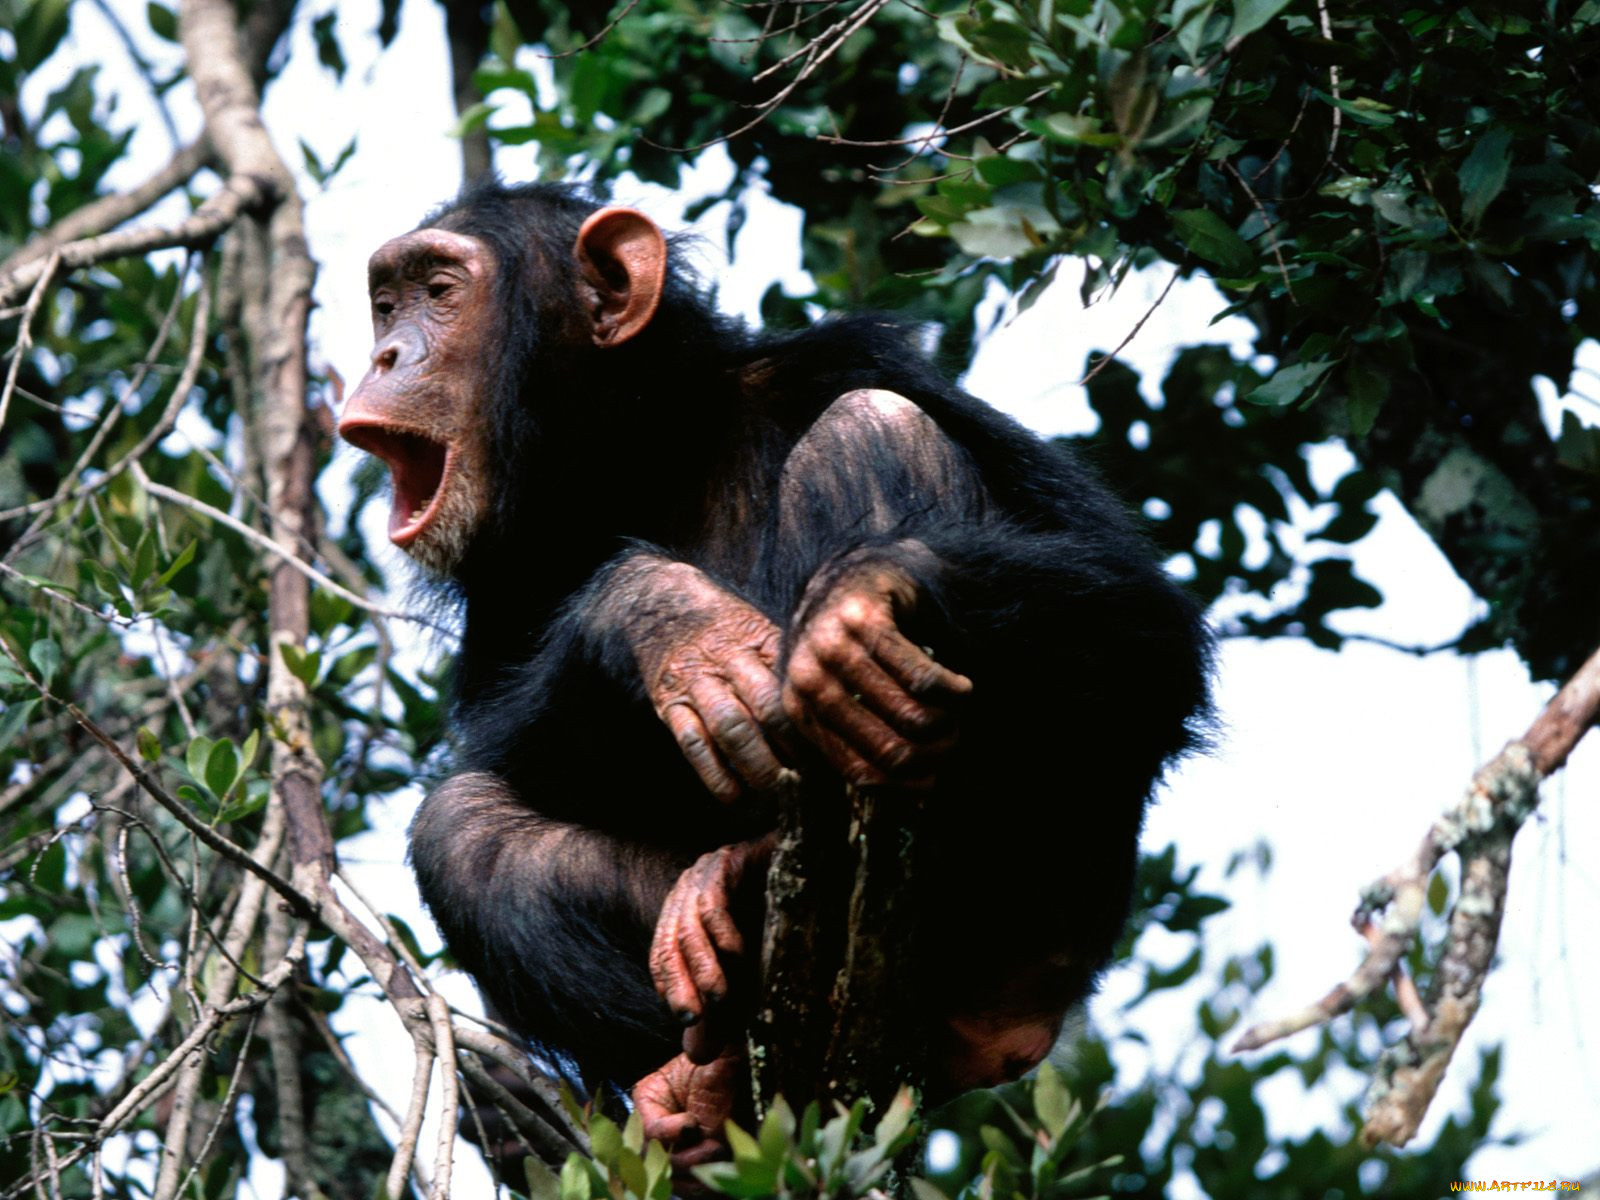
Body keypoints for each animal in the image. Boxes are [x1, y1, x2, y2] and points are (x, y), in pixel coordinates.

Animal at [340, 176, 1209, 1158]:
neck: (644, 452)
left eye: (439, 292)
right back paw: (711, 1053)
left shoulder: (845, 360)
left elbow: (1141, 620)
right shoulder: (501, 578)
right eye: (387, 301)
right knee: (460, 827)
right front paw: (662, 617)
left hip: (1035, 919)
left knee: (870, 425)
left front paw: (863, 597)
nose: (385, 350)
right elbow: (496, 749)